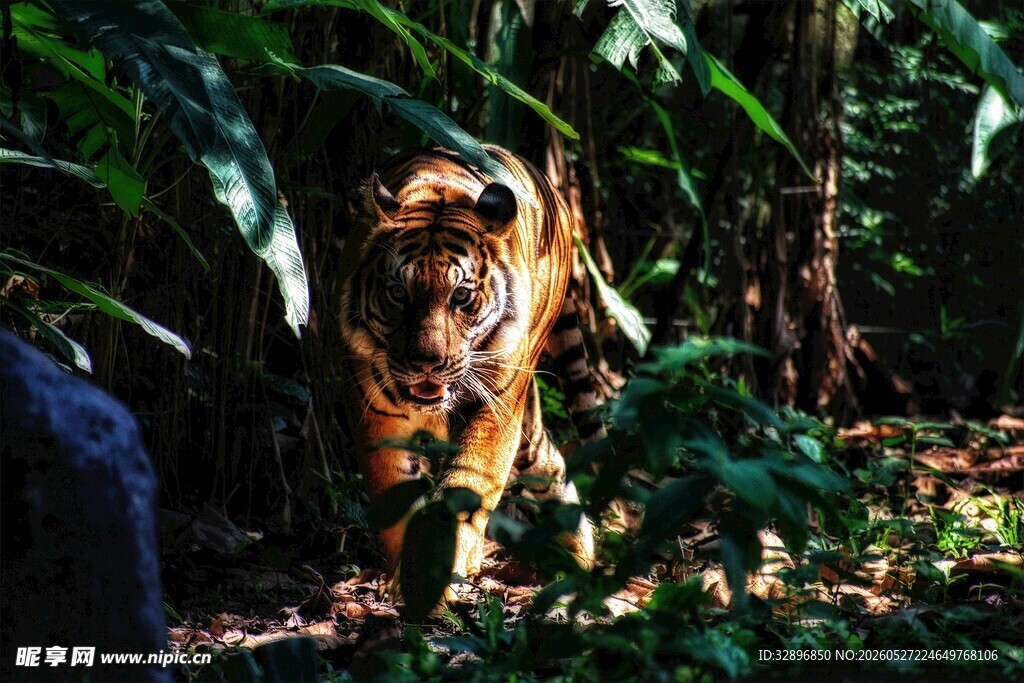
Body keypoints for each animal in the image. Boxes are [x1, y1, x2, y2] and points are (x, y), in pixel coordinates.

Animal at [338, 145, 605, 595]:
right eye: (399, 293)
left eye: (460, 296)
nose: (427, 363)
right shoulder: (375, 418)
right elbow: (394, 498)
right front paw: (406, 581)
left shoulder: (495, 411)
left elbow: (464, 491)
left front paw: (430, 578)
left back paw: (578, 558)